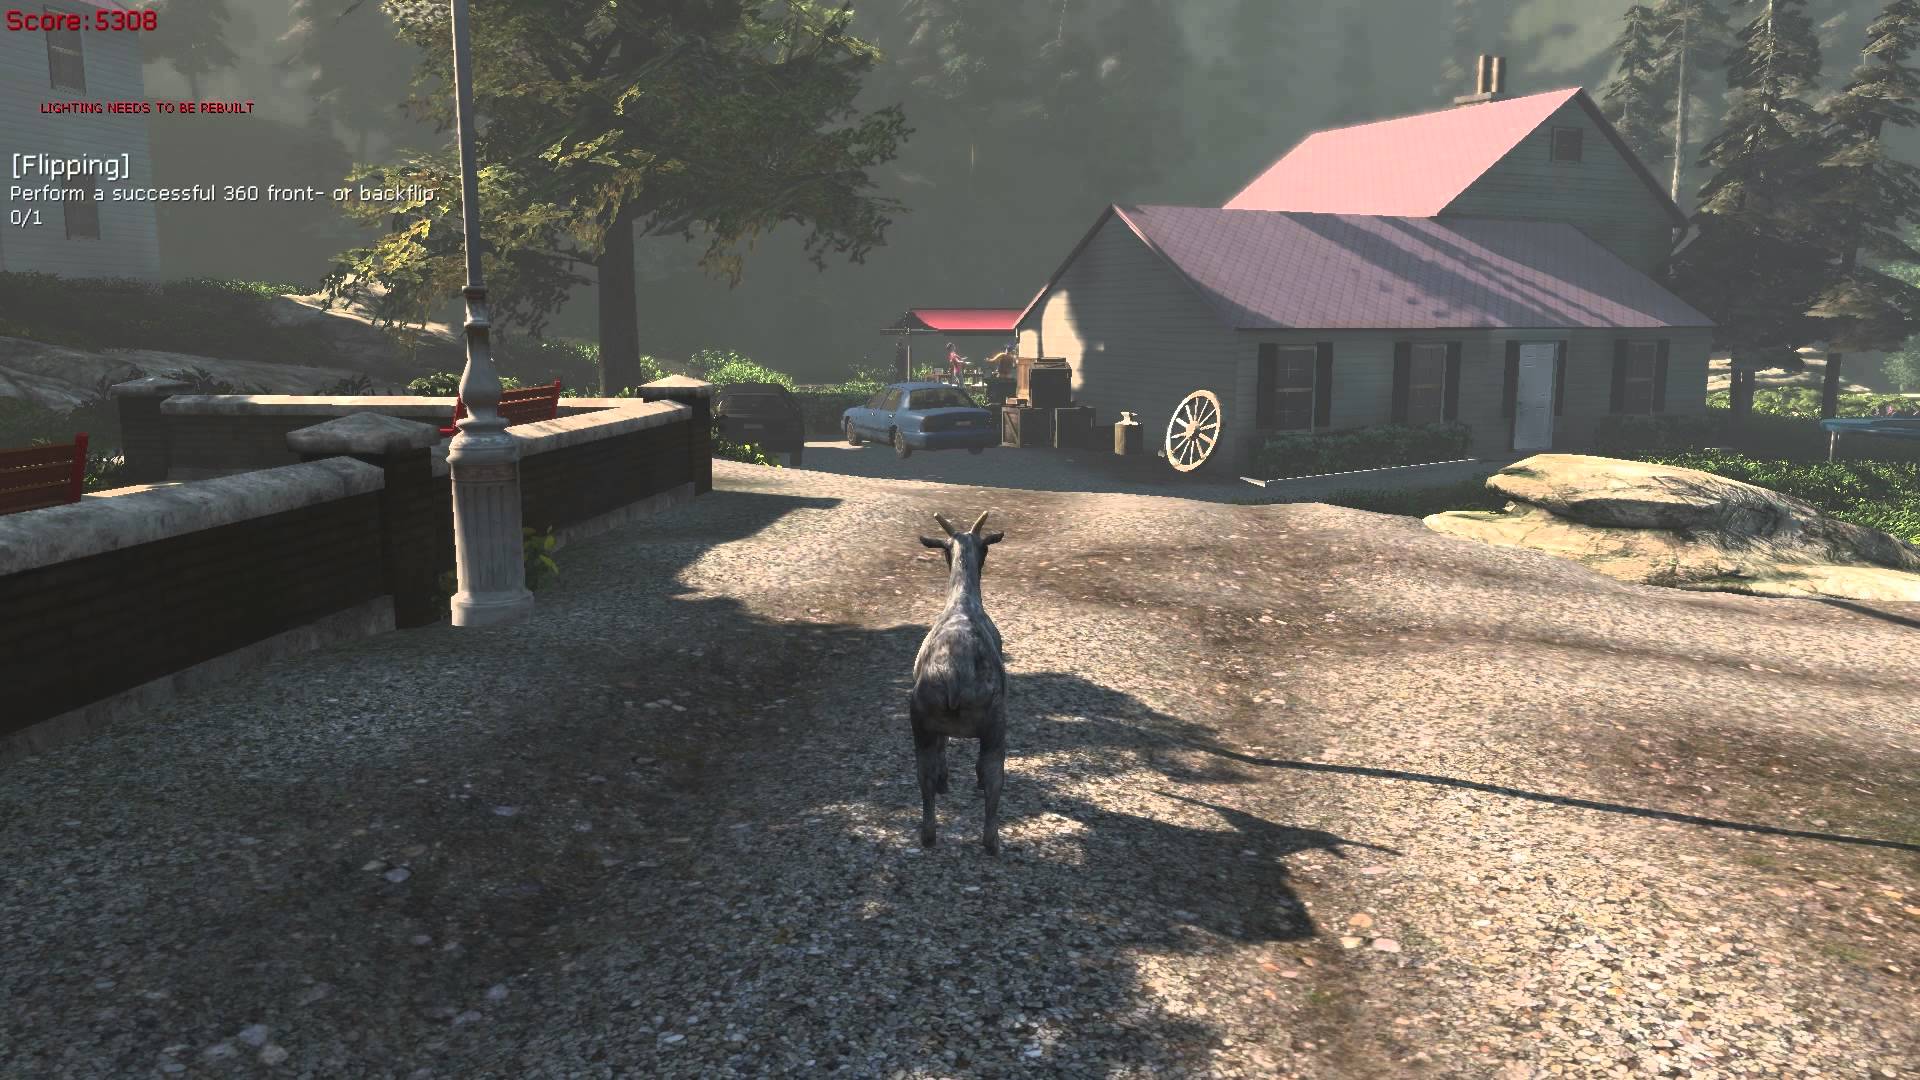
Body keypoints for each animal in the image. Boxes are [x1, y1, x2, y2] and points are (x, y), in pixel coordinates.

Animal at [909, 510, 1008, 853]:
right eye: (986, 547)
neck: (962, 602)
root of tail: (953, 676)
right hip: (994, 722)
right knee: (992, 774)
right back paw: (991, 842)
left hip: (920, 718)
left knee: (924, 772)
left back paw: (928, 835)